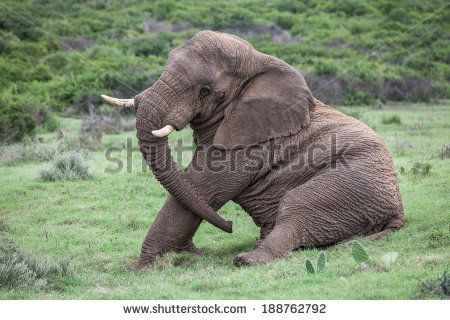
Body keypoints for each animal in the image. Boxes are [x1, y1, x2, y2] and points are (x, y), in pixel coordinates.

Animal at [102, 30, 404, 268]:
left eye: (205, 91)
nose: (230, 226)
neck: (257, 61)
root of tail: (398, 213)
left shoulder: (253, 144)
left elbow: (203, 188)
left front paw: (142, 267)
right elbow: (192, 189)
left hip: (351, 187)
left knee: (299, 207)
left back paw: (247, 259)